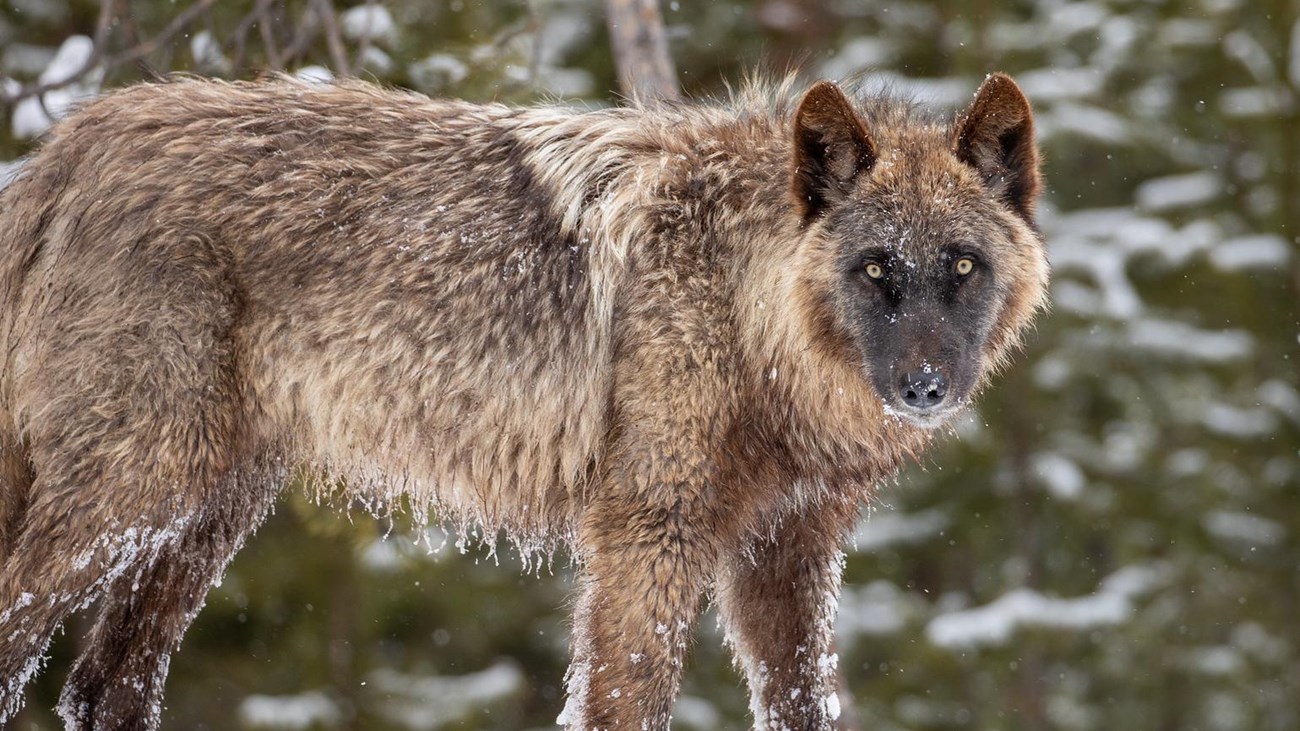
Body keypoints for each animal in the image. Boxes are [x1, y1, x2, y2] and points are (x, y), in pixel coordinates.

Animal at [0, 69, 1040, 728]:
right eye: (875, 268)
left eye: (961, 266)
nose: (925, 386)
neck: (745, 313)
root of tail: (69, 145)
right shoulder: (648, 533)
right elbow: (622, 702)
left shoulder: (787, 556)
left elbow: (803, 703)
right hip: (135, 496)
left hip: (206, 514)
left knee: (103, 689)